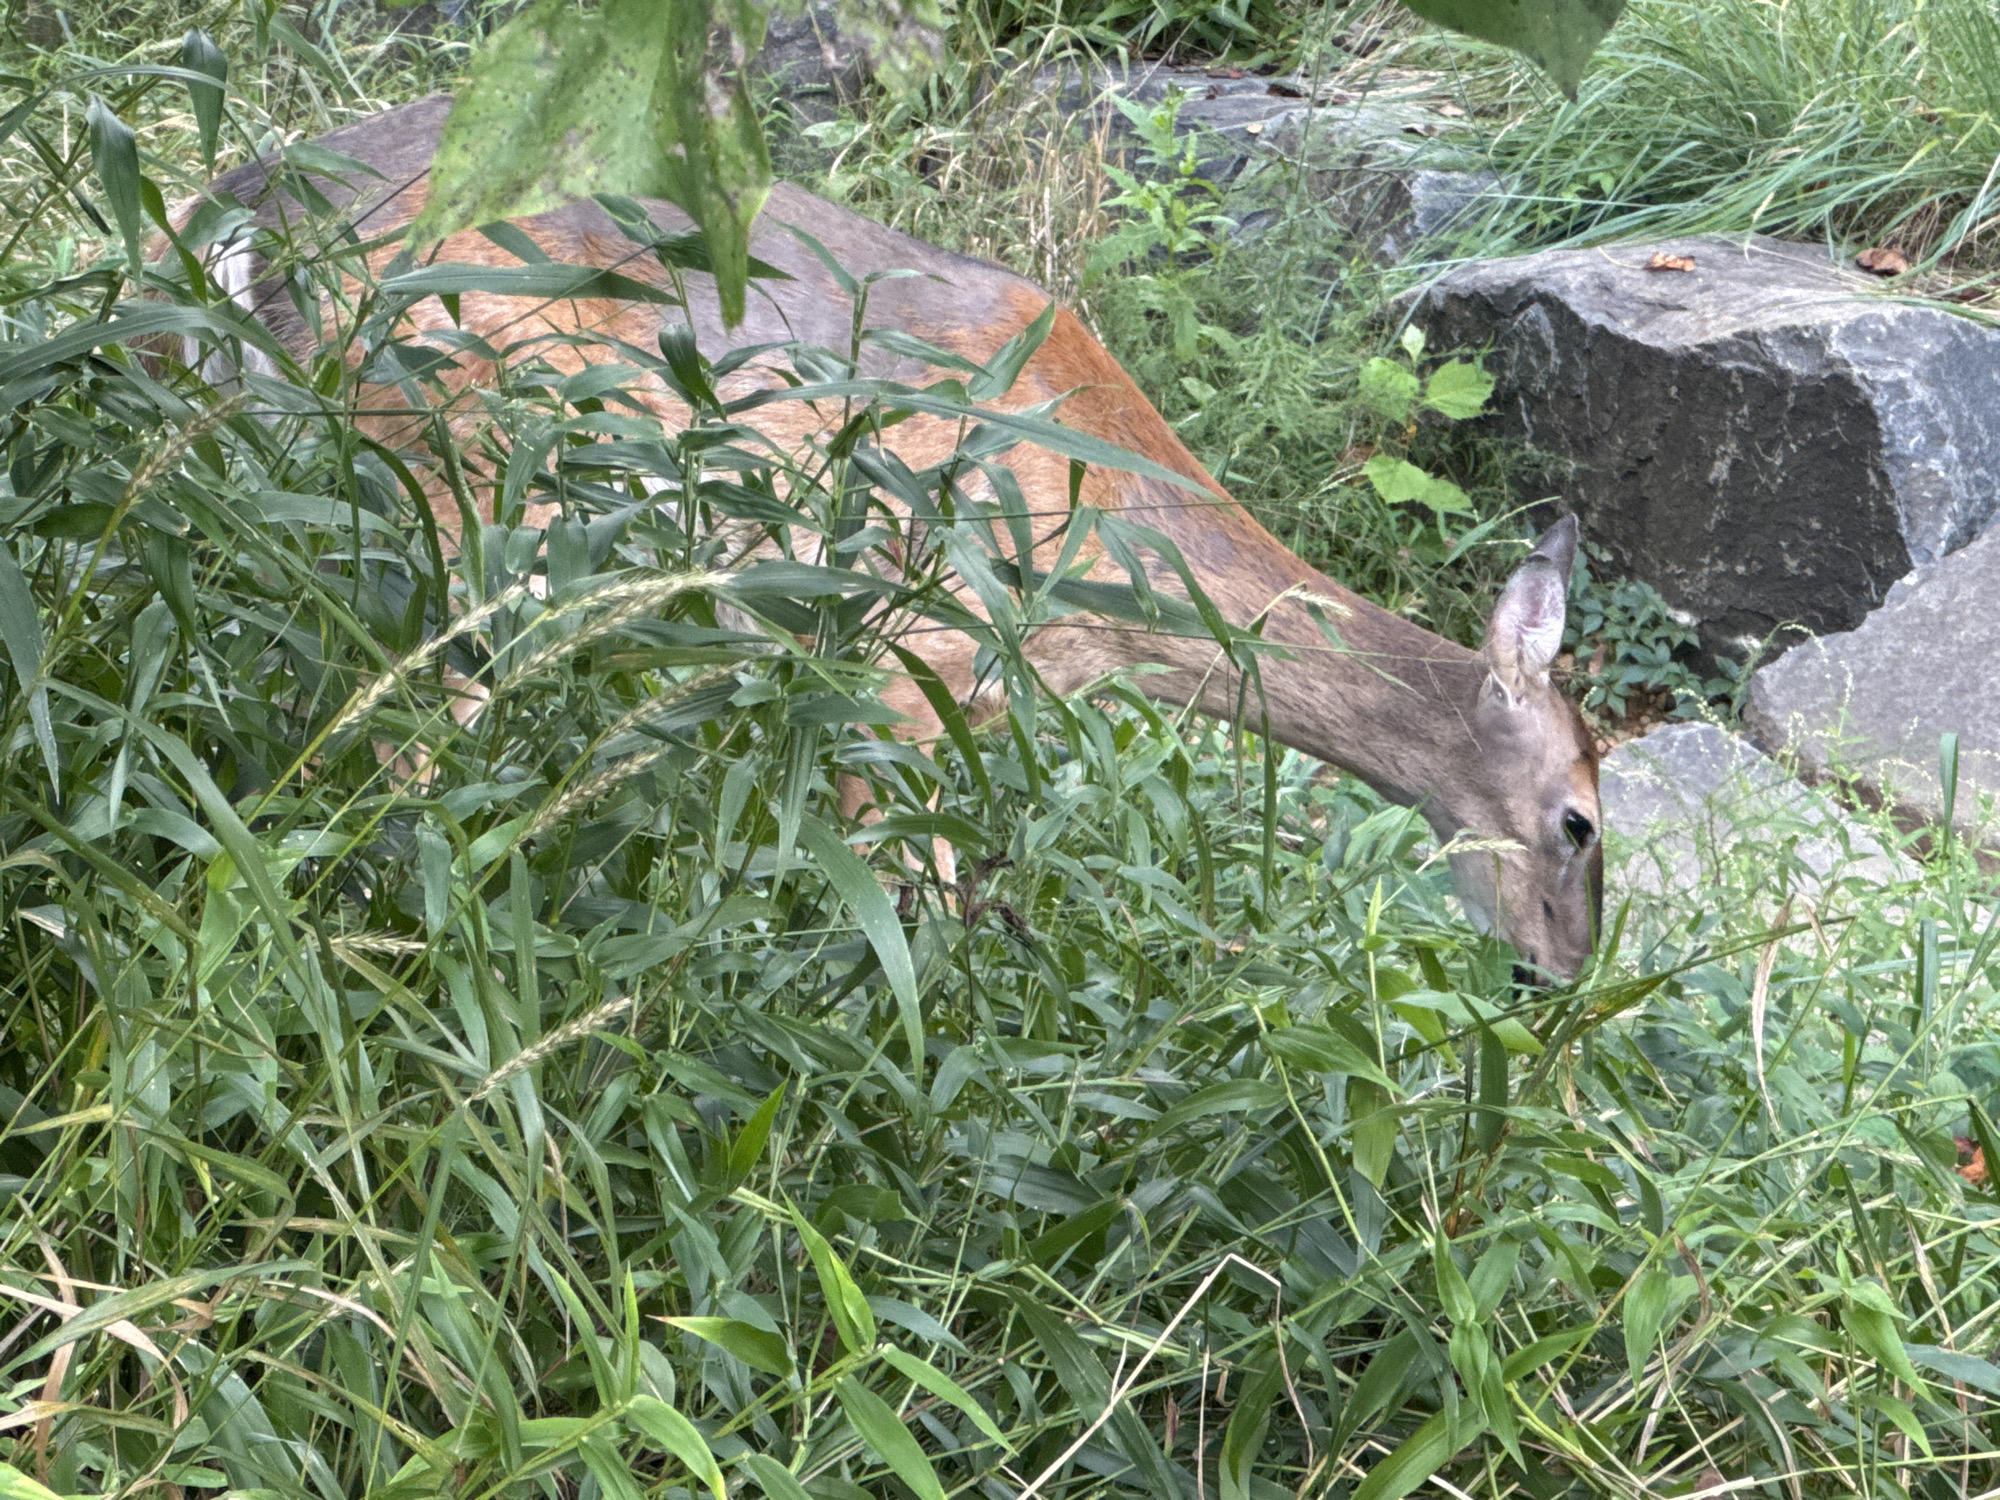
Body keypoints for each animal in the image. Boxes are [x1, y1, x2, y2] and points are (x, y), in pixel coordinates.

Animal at [162, 94, 1602, 980]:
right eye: (1582, 821)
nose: (1556, 975)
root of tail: (243, 210)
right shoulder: (908, 655)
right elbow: (911, 915)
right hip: (465, 470)